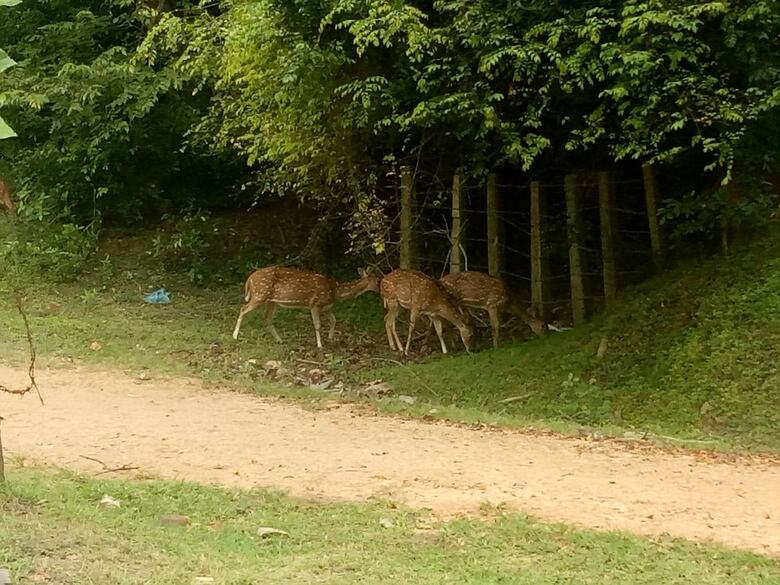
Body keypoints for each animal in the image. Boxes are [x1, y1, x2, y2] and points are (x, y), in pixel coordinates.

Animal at [232, 266, 379, 348]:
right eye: (378, 280)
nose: (380, 291)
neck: (335, 291)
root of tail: (250, 279)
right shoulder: (315, 304)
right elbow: (318, 325)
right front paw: (320, 345)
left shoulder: (326, 307)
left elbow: (333, 320)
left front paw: (331, 338)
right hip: (259, 295)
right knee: (243, 309)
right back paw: (234, 336)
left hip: (271, 301)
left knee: (267, 319)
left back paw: (280, 340)